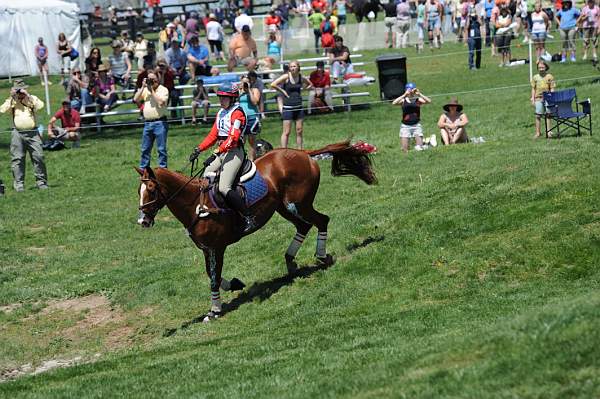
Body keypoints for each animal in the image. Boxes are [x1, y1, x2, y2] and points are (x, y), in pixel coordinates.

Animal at [136, 141, 376, 322]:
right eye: (138, 191)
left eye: (151, 190)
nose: (142, 221)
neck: (195, 202)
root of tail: (303, 153)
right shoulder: (206, 249)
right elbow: (213, 274)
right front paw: (234, 284)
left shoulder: (217, 247)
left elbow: (214, 278)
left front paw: (215, 311)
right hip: (284, 207)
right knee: (304, 226)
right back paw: (290, 261)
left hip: (299, 204)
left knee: (322, 221)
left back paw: (322, 256)